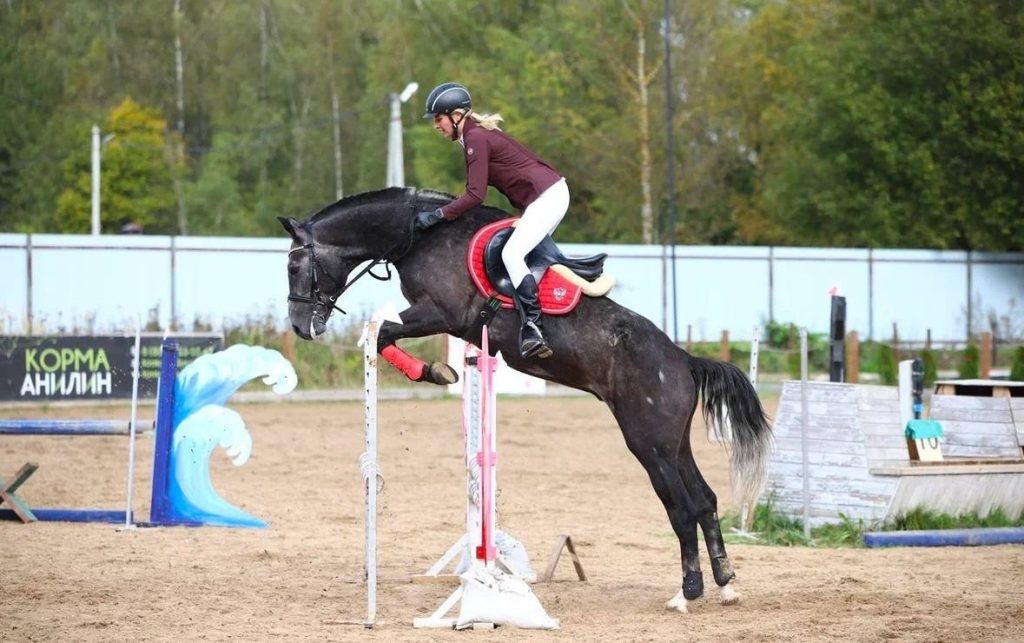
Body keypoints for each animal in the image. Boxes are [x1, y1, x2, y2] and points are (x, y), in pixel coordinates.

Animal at [279, 187, 772, 612]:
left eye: (293, 267)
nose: (302, 327)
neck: (418, 235)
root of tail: (682, 359)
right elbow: (381, 334)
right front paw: (440, 371)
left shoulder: (439, 313)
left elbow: (381, 332)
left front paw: (433, 372)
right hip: (674, 441)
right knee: (705, 500)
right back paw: (725, 585)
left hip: (648, 443)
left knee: (682, 508)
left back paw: (687, 593)